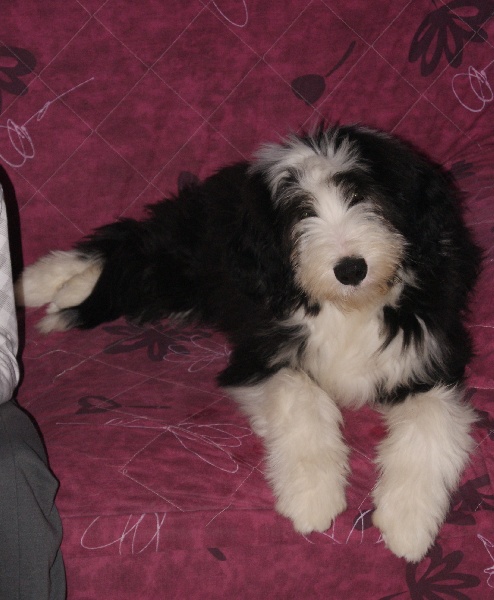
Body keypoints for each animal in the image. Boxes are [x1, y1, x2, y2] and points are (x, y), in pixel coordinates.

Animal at [15, 124, 481, 562]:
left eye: (360, 195)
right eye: (300, 212)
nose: (351, 268)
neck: (348, 307)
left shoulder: (432, 360)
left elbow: (429, 422)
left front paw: (408, 521)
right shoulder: (259, 353)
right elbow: (303, 396)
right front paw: (312, 496)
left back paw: (61, 292)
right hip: (184, 263)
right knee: (127, 244)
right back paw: (42, 285)